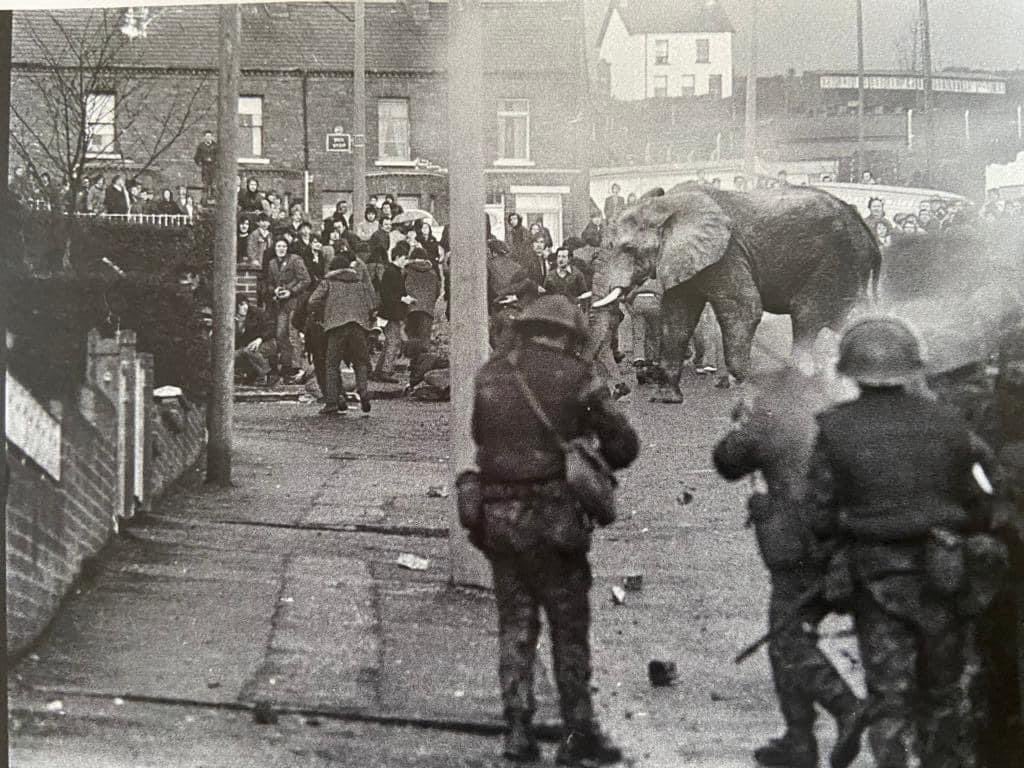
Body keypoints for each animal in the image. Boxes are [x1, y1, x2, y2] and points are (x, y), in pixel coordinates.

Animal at [602, 185, 884, 403]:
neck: (668, 206)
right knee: (848, 318)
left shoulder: (727, 254)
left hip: (835, 261)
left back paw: (800, 377)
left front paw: (747, 385)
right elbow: (676, 320)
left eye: (628, 248)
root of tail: (868, 235)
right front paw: (666, 399)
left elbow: (745, 309)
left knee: (807, 315)